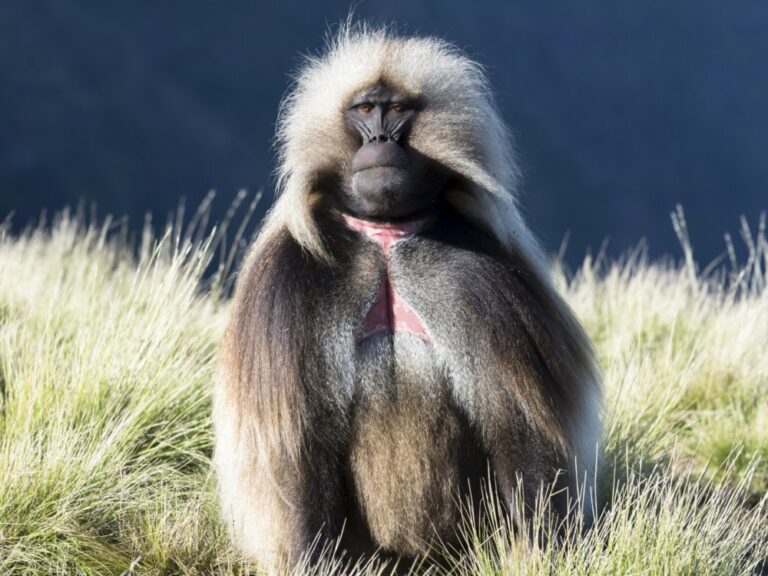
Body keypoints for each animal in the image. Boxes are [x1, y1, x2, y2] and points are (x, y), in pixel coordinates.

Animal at [213, 25, 601, 573]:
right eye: (363, 109)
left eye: (396, 110)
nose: (378, 140)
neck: (387, 237)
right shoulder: (287, 279)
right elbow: (298, 448)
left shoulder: (486, 275)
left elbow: (521, 426)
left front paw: (535, 552)